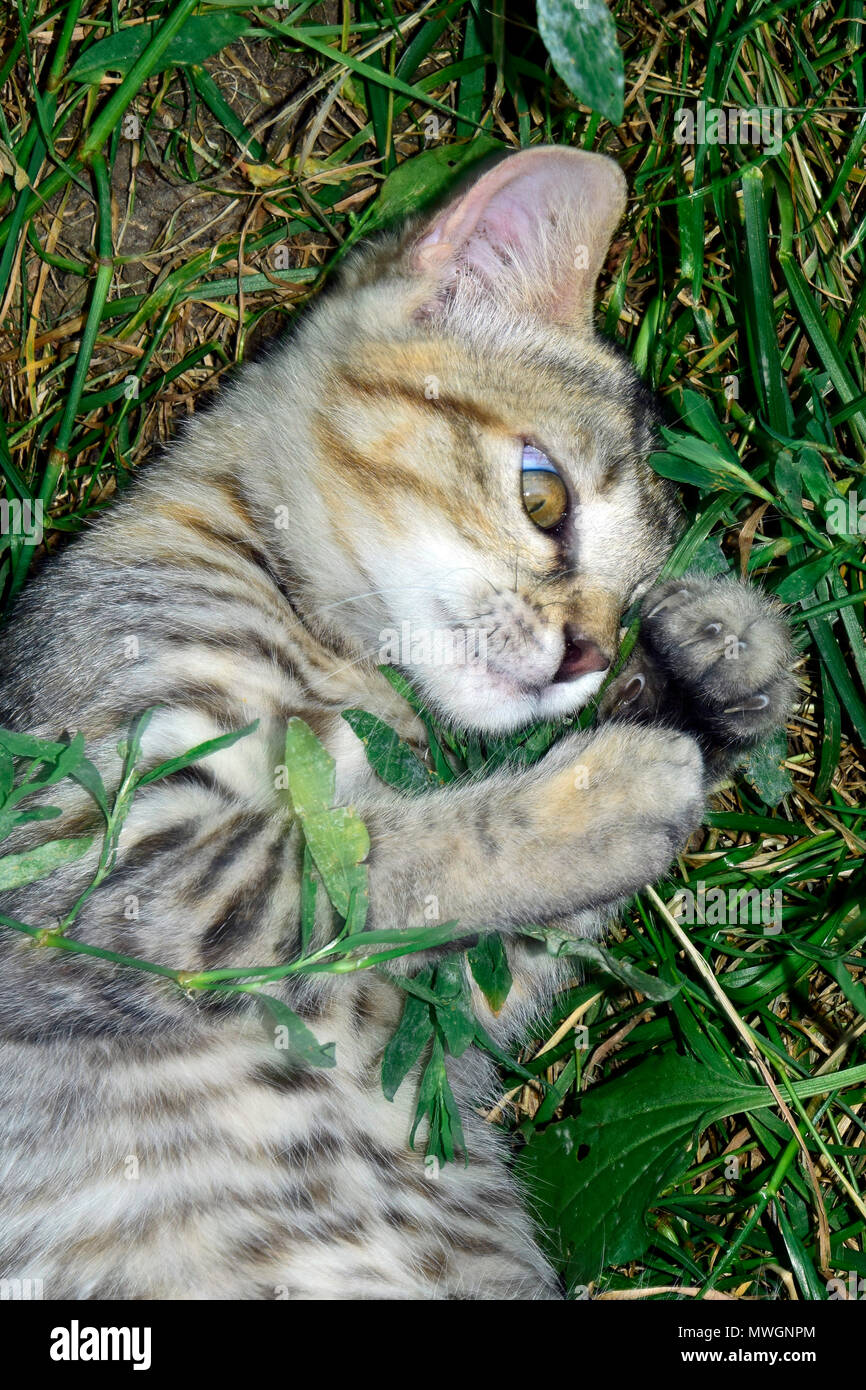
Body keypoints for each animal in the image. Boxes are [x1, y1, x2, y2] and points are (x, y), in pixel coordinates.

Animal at [0, 146, 795, 1295]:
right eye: (544, 499)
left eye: (629, 605)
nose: (589, 655)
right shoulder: (90, 851)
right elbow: (343, 865)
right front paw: (608, 793)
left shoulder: (416, 1040)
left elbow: (486, 942)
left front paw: (715, 677)